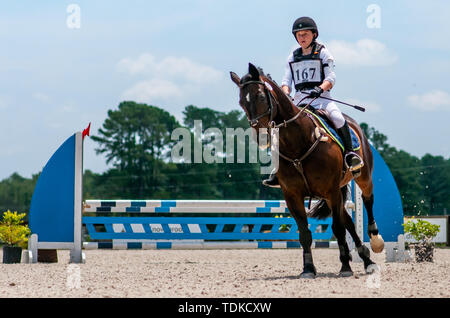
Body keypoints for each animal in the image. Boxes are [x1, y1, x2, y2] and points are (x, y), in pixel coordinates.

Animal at [232, 64, 384, 278]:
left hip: (361, 178)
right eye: (241, 102)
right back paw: (366, 259)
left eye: (261, 97)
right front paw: (308, 269)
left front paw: (345, 267)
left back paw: (375, 240)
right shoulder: (293, 195)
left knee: (367, 200)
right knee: (348, 221)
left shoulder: (331, 190)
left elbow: (337, 229)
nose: (260, 137)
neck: (298, 141)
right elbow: (305, 233)